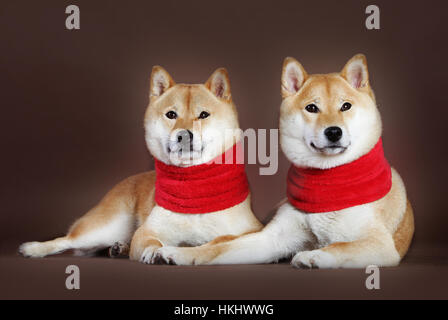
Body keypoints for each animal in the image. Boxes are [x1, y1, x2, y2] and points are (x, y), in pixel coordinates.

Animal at [18, 65, 262, 262]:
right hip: (106, 226)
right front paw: (154, 252)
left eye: (203, 115)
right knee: (70, 240)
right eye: (171, 114)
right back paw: (34, 248)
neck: (193, 189)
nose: (183, 135)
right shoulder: (148, 231)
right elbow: (149, 240)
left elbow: (224, 238)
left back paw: (118, 249)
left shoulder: (251, 229)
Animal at [152, 54, 414, 268]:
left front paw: (314, 255)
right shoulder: (269, 239)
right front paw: (180, 253)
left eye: (346, 106)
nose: (333, 132)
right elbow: (217, 249)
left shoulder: (379, 244)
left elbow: (340, 246)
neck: (325, 184)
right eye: (312, 108)